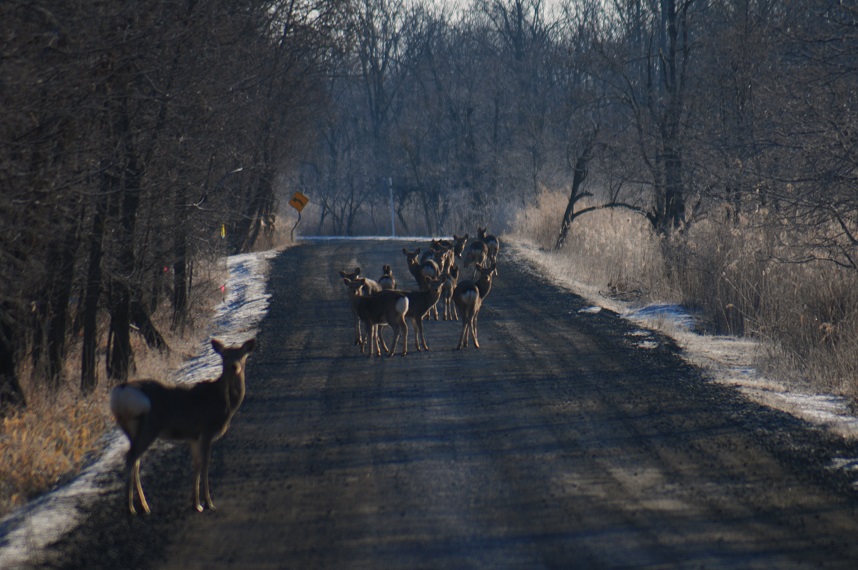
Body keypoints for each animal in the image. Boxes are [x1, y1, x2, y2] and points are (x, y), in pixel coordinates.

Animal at [109, 338, 256, 515]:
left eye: (242, 355)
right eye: (225, 356)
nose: (235, 367)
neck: (223, 402)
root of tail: (119, 394)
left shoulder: (194, 436)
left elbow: (196, 464)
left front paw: (195, 503)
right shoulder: (206, 430)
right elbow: (205, 464)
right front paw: (208, 503)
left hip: (130, 429)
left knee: (135, 461)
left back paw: (144, 506)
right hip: (148, 427)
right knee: (131, 458)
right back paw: (130, 508)